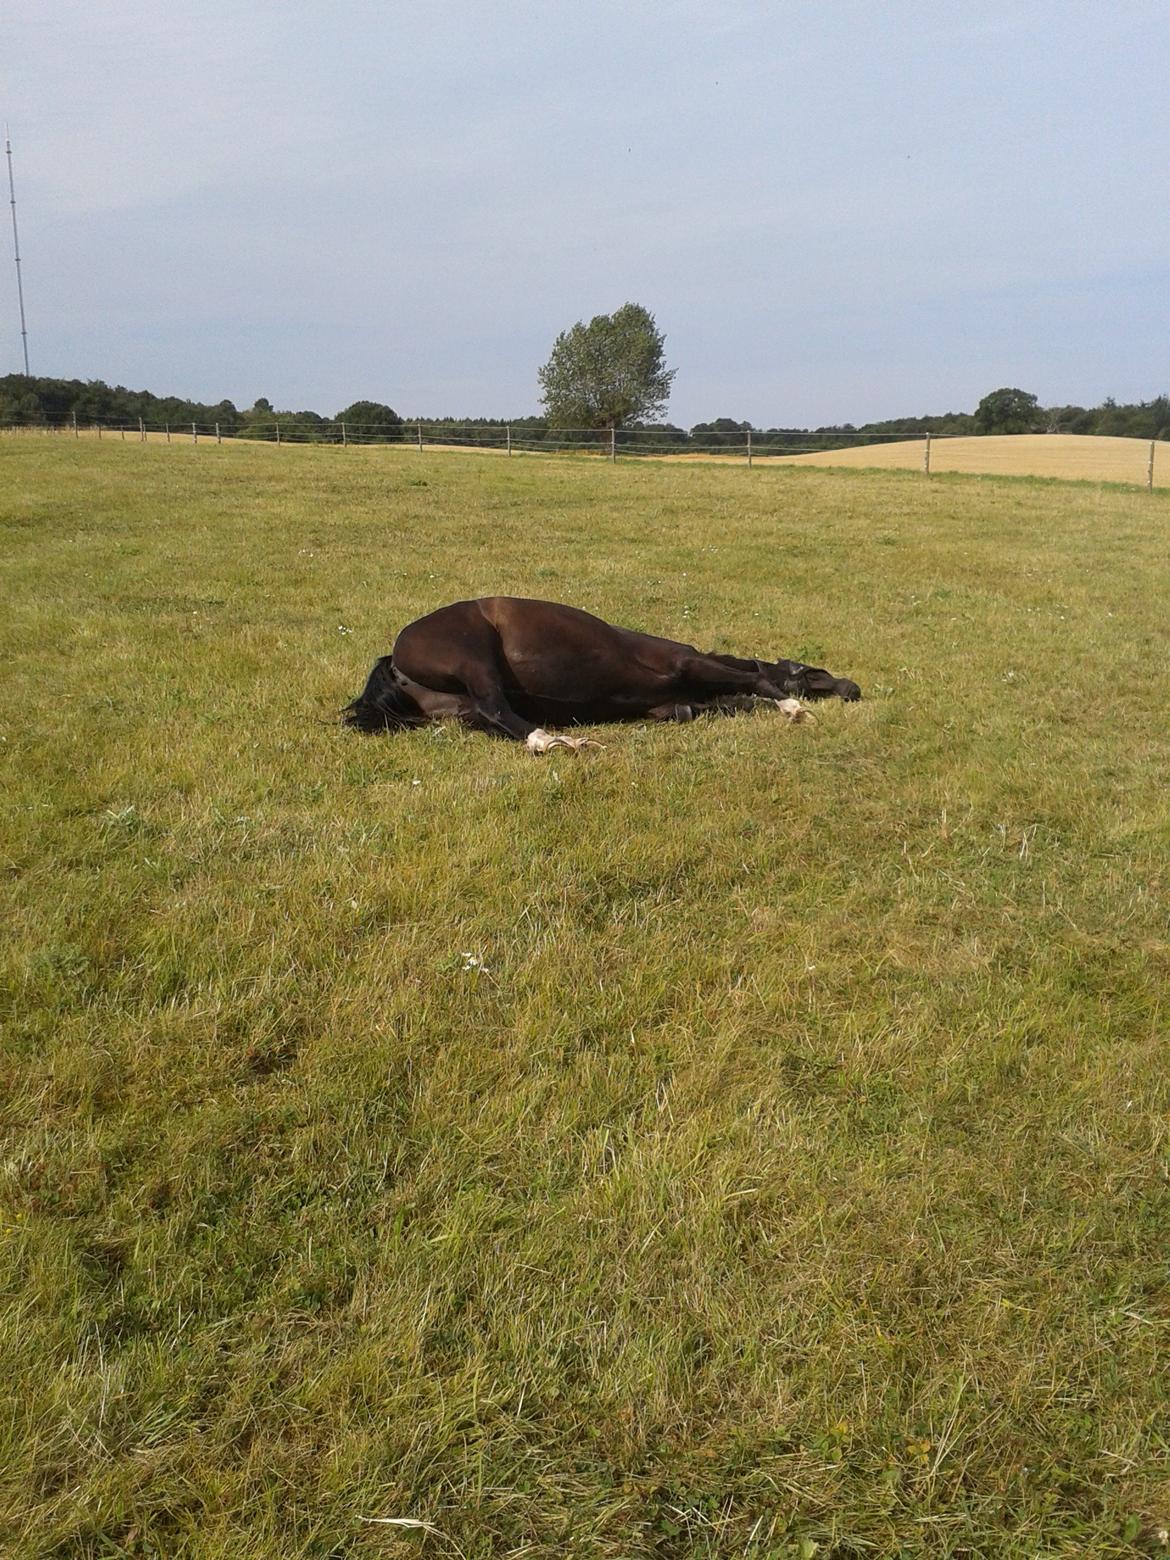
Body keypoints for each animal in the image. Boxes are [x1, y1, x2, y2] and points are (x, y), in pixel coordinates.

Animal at [343, 592, 867, 751]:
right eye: (812, 670)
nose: (854, 688)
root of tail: (394, 657)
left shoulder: (670, 705)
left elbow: (704, 707)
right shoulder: (685, 662)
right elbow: (756, 680)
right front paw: (793, 708)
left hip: (460, 709)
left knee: (494, 719)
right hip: (474, 659)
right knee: (497, 709)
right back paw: (559, 742)